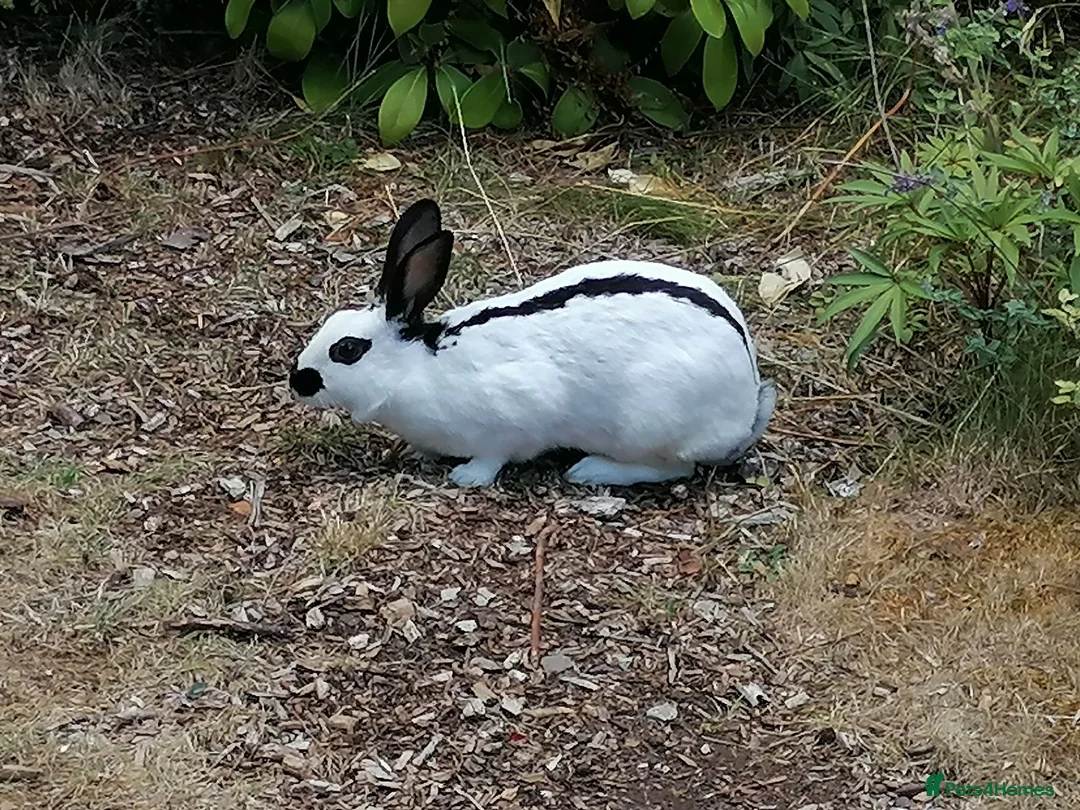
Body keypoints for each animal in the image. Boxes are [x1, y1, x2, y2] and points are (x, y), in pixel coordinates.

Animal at [288, 198, 777, 488]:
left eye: (347, 350)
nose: (298, 382)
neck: (416, 365)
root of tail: (746, 406)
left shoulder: (511, 417)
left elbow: (494, 455)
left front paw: (466, 477)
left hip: (648, 423)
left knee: (675, 467)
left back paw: (589, 470)